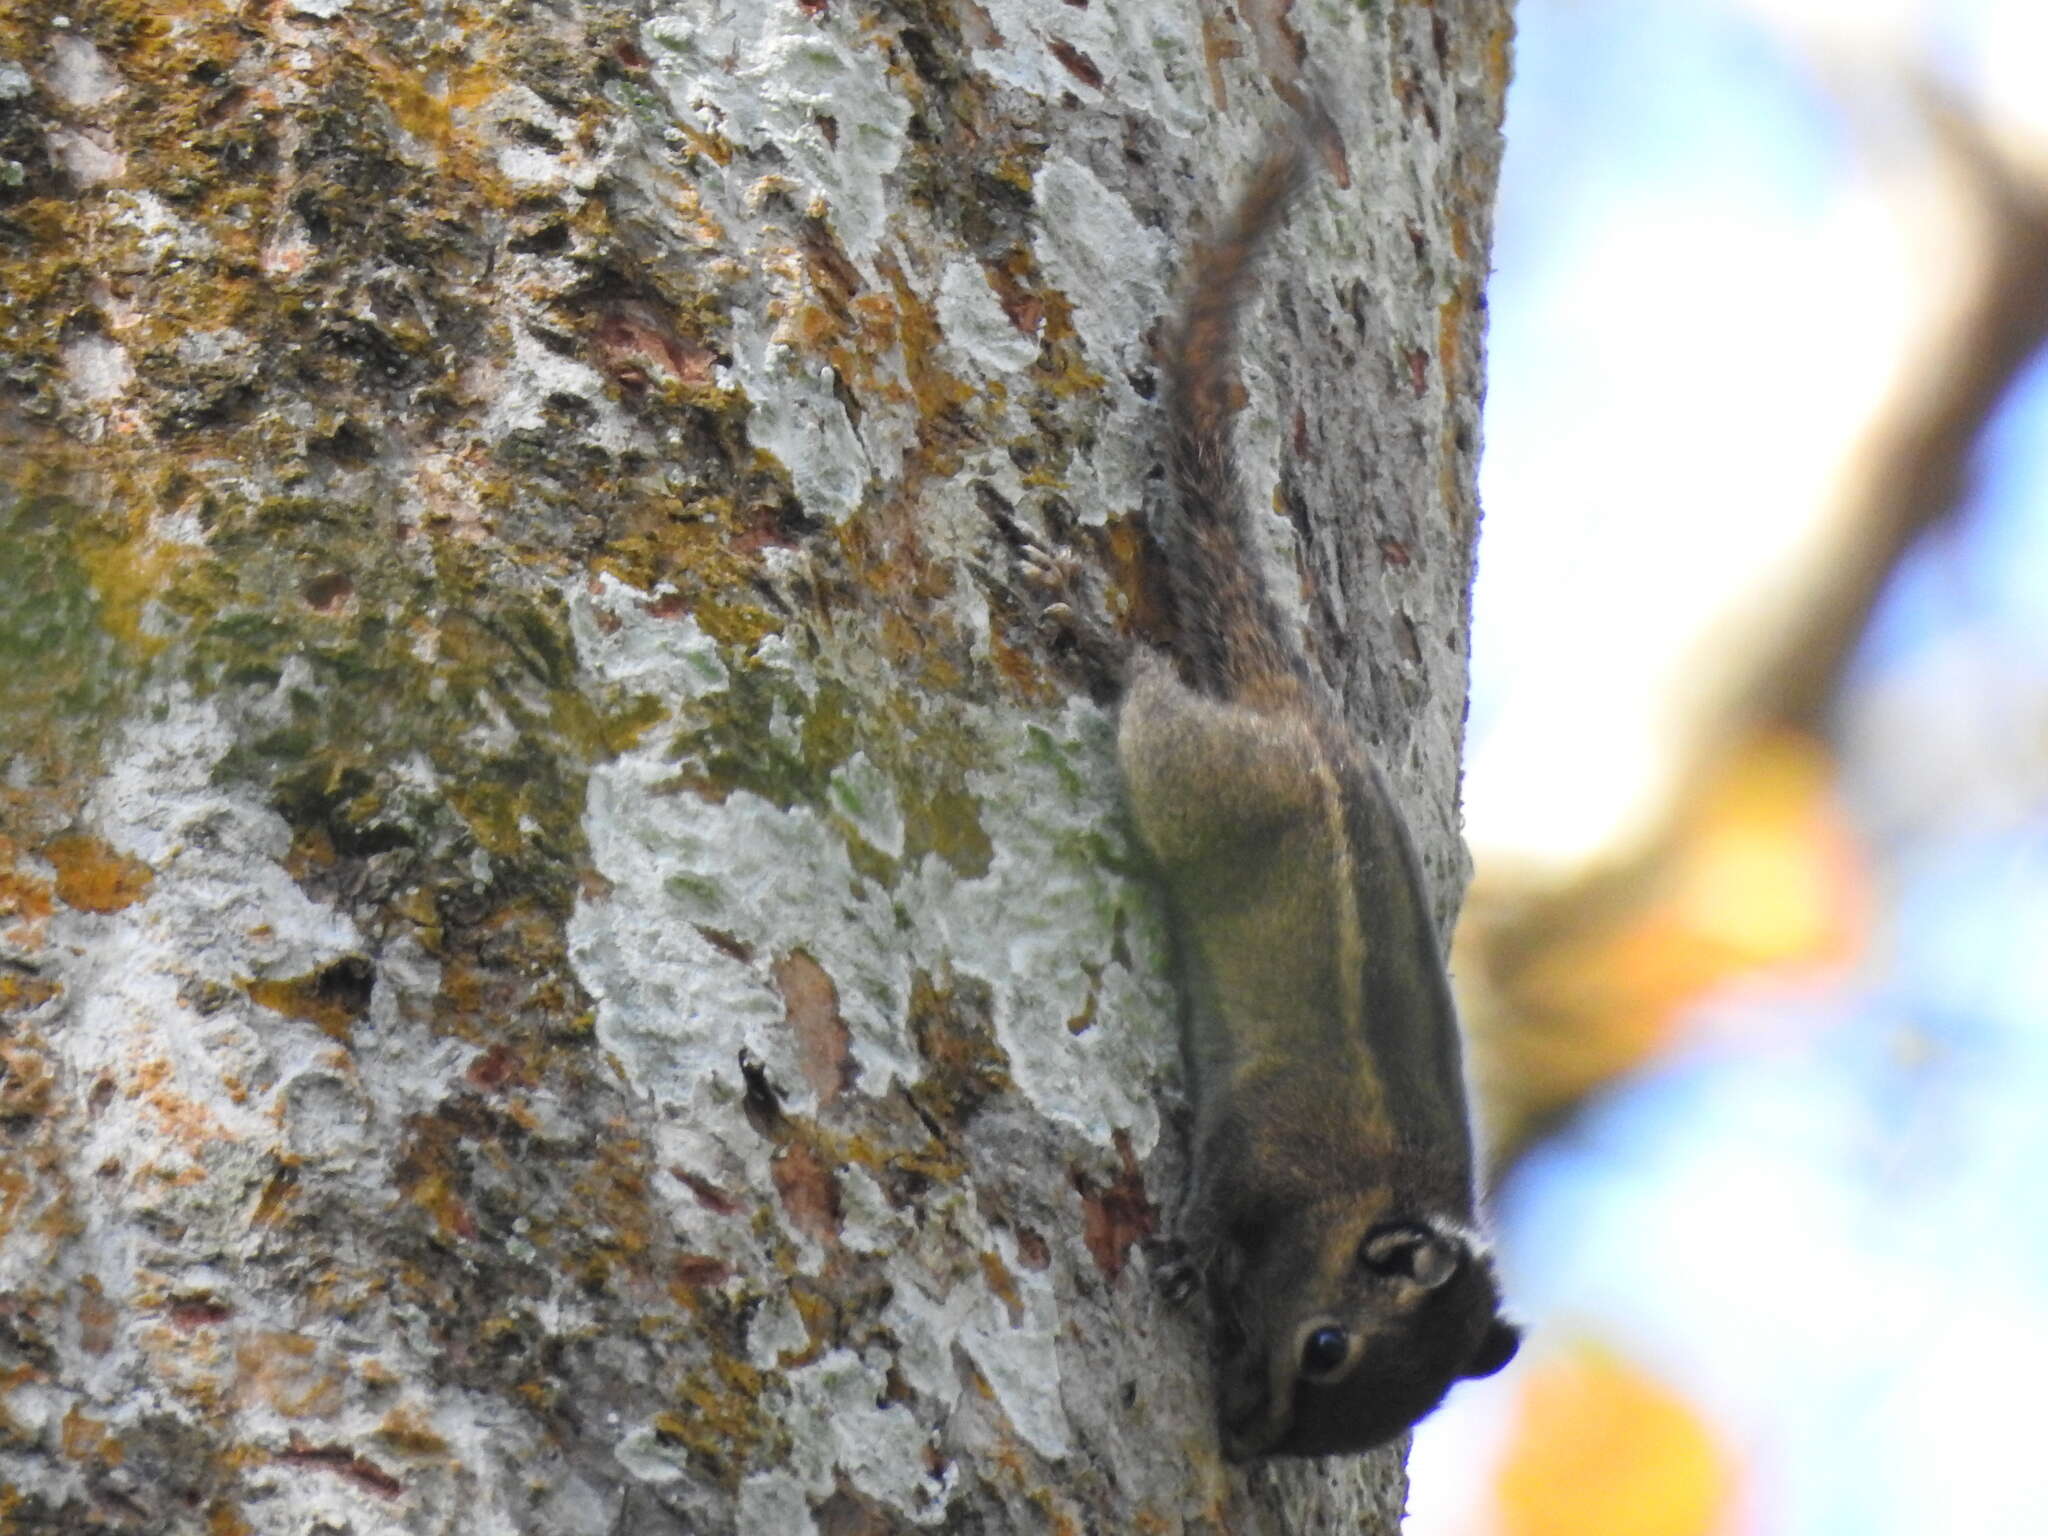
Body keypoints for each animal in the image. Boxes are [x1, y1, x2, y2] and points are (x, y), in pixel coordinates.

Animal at [1019, 120, 1523, 1466]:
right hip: (1197, 777)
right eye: (1328, 1348)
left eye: (1361, 1420)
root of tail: (1302, 715)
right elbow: (1212, 1196)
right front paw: (1191, 1256)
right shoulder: (1263, 1139)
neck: (1361, 1197)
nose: (1248, 1442)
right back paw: (1106, 646)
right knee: (1153, 710)